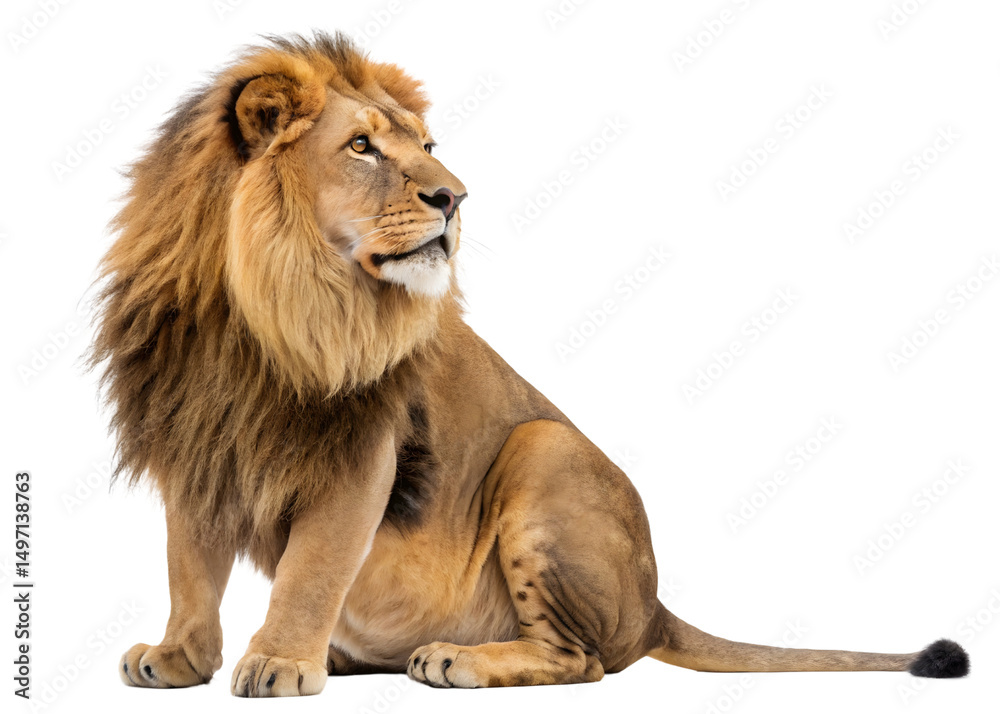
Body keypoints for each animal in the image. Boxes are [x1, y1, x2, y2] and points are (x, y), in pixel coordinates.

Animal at [91, 32, 969, 697]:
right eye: (363, 146)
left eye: (428, 148)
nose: (455, 197)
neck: (250, 316)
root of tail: (654, 604)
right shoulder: (193, 439)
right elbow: (187, 563)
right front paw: (179, 657)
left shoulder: (360, 451)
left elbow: (313, 566)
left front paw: (277, 661)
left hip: (543, 449)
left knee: (584, 660)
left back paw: (455, 659)